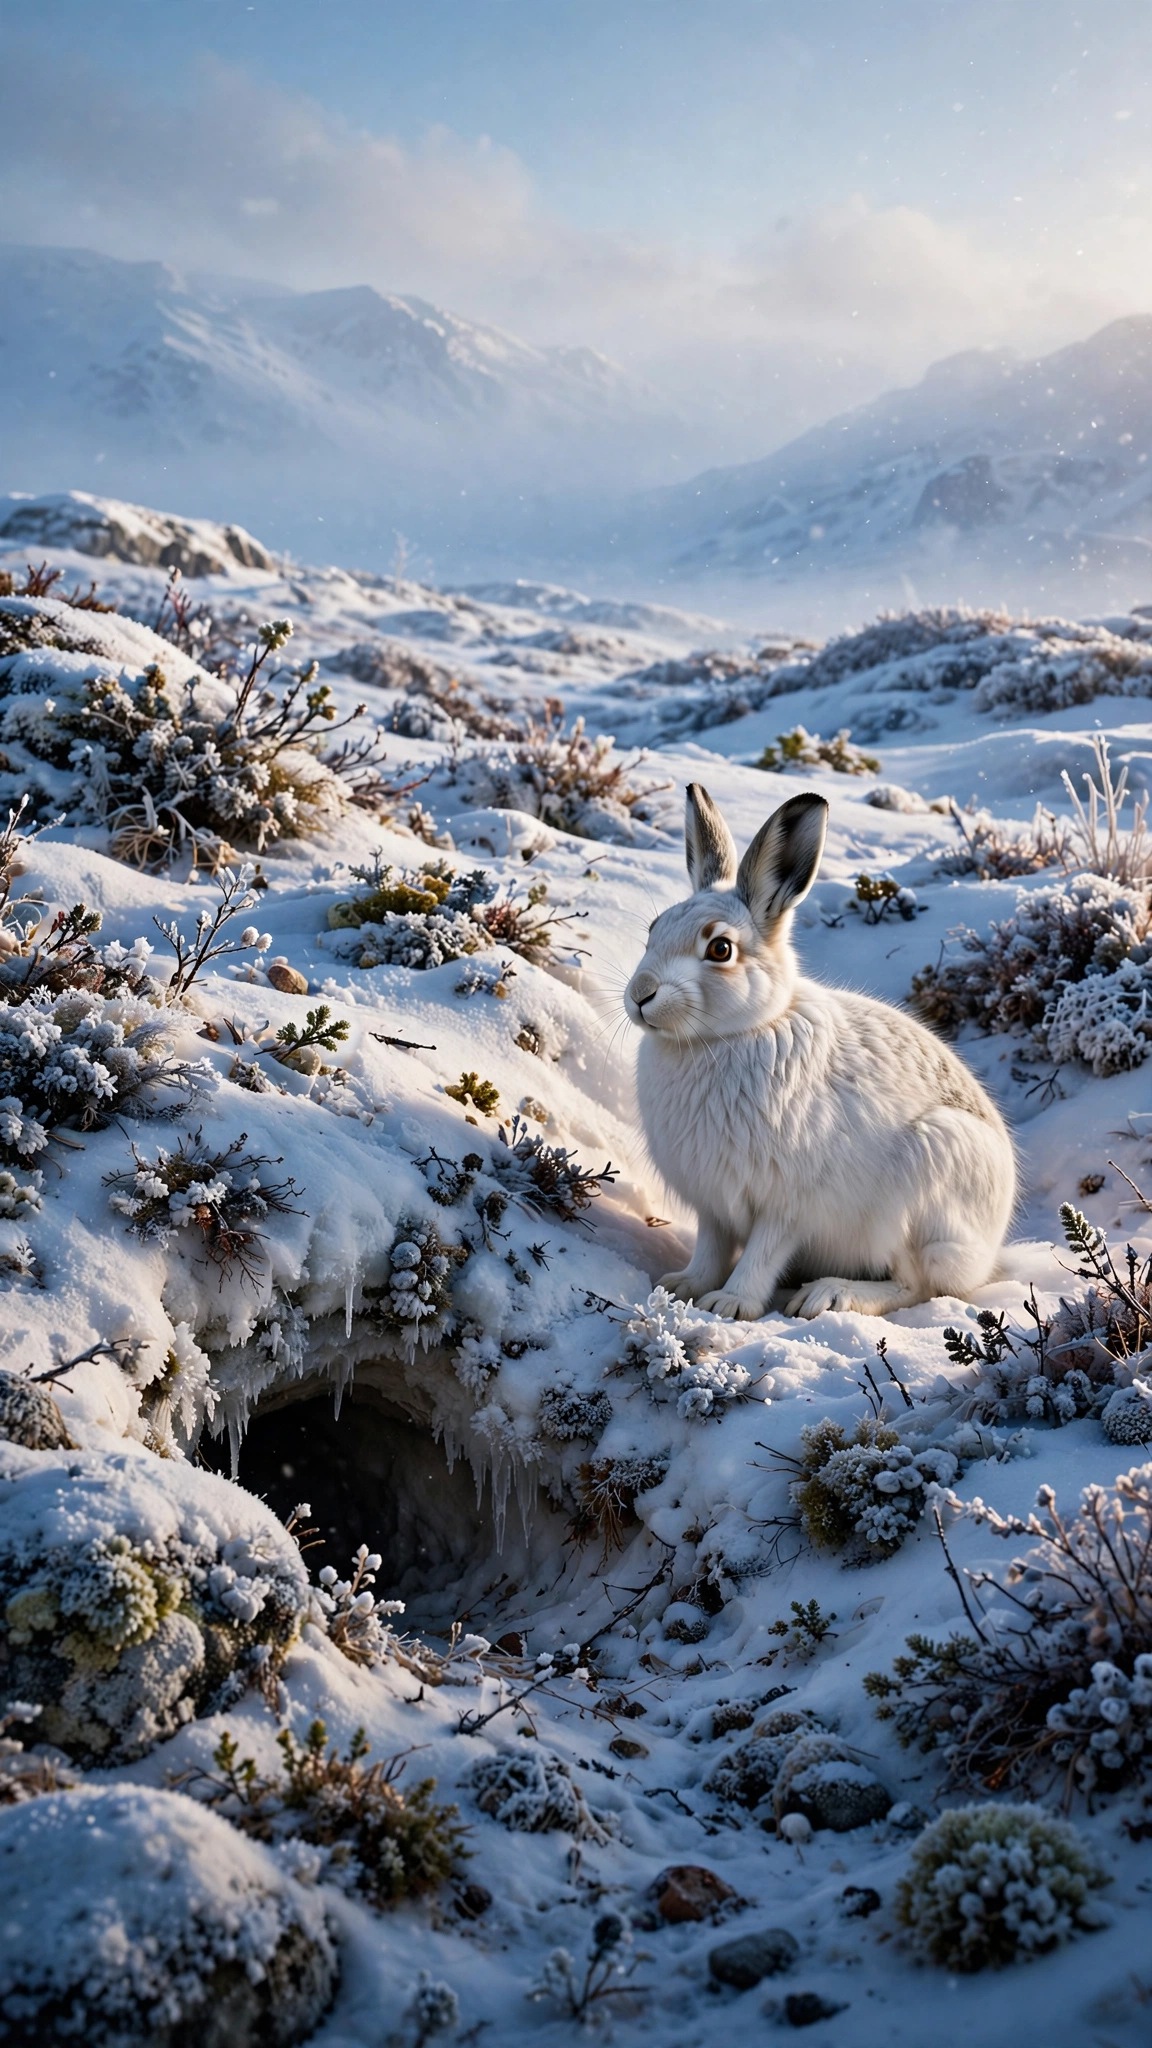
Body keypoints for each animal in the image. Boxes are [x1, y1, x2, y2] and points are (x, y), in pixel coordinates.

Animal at [624, 784, 1016, 1321]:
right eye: (653, 930)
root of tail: (991, 1250)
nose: (640, 994)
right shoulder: (713, 1204)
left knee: (918, 1283)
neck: (730, 1036)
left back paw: (828, 1294)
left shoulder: (787, 1203)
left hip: (925, 1185)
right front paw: (684, 1285)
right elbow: (711, 1247)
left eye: (720, 949)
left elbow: (764, 1252)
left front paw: (730, 1303)